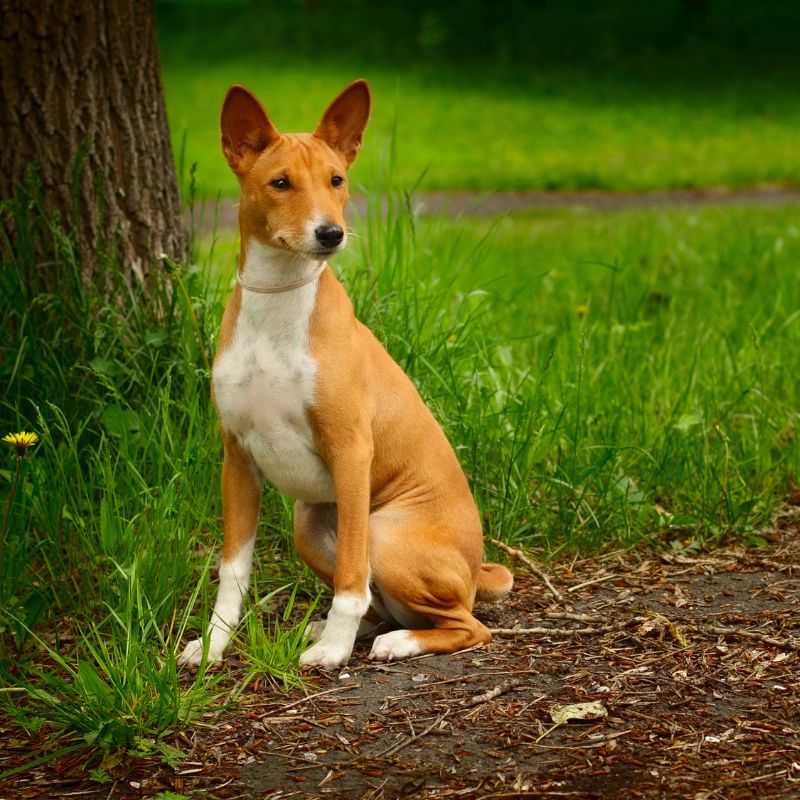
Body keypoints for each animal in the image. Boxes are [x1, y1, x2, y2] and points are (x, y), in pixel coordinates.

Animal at [179, 79, 516, 668]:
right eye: (281, 182)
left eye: (336, 180)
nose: (331, 233)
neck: (277, 307)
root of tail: (477, 570)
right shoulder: (237, 458)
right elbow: (232, 571)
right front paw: (214, 643)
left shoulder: (350, 450)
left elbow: (351, 579)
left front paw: (334, 651)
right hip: (308, 525)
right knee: (387, 604)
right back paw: (334, 629)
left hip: (384, 531)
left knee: (465, 623)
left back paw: (392, 642)